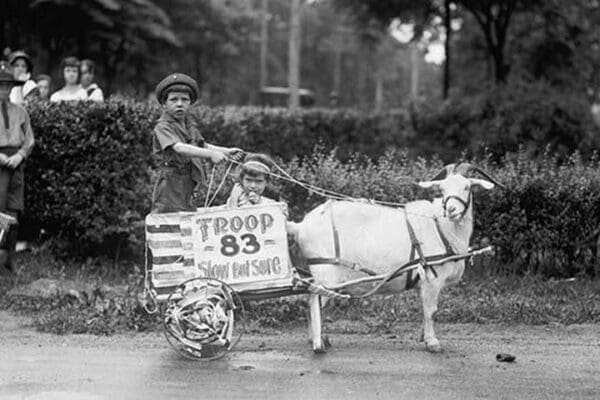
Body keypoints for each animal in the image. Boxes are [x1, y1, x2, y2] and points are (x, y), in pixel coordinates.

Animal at [288, 162, 500, 354]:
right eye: (442, 188)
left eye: (467, 187)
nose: (451, 210)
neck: (440, 226)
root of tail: (301, 226)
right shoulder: (432, 277)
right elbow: (431, 310)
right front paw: (432, 342)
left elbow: (425, 310)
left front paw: (423, 336)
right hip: (326, 273)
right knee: (313, 301)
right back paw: (318, 341)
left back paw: (317, 338)